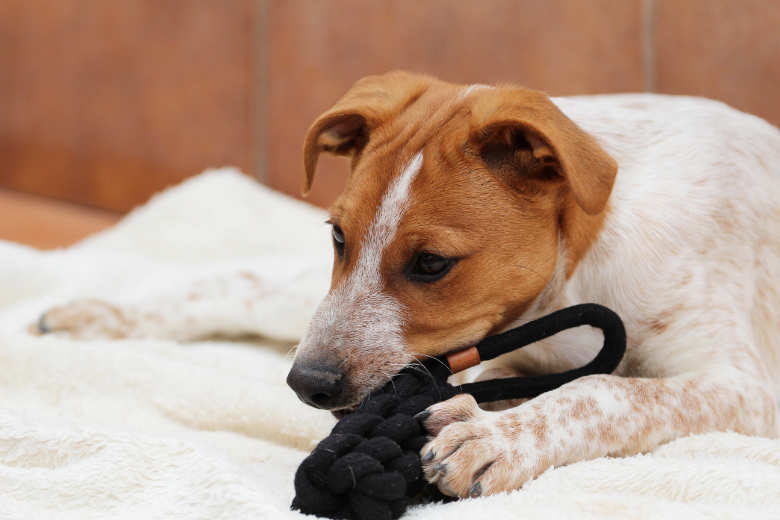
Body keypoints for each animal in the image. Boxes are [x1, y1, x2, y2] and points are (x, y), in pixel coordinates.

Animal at [37, 71, 779, 498]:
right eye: (337, 237)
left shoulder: (746, 388)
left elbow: (606, 392)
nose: (307, 384)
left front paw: (495, 437)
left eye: (431, 264)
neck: (574, 275)